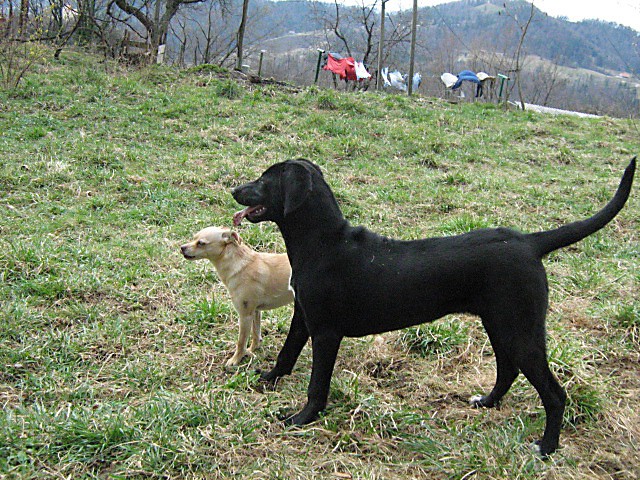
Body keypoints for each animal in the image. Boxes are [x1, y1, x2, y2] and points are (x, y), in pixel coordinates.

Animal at [178, 227, 292, 366]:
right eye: (193, 238)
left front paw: (236, 360)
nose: (182, 247)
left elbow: (241, 342)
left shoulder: (245, 315)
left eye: (201, 243)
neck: (238, 265)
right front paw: (252, 350)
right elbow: (256, 334)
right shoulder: (255, 312)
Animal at [231, 158, 636, 458]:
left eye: (265, 179)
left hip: (521, 331)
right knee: (507, 371)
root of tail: (529, 243)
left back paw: (547, 447)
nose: (233, 189)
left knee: (554, 393)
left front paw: (301, 419)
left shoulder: (326, 333)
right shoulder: (303, 317)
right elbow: (286, 354)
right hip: (501, 325)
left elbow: (317, 384)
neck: (324, 242)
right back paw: (486, 402)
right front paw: (268, 379)